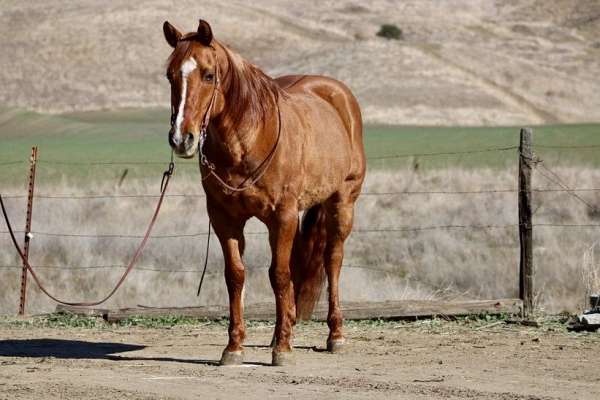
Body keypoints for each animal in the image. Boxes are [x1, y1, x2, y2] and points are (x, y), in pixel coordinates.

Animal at [164, 19, 366, 366]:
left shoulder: (282, 217)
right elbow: (236, 276)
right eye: (170, 75)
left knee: (333, 261)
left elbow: (280, 275)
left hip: (342, 204)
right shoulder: (224, 219)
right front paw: (234, 347)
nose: (181, 138)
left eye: (208, 75)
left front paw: (282, 348)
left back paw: (335, 335)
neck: (249, 140)